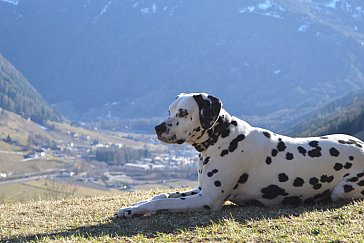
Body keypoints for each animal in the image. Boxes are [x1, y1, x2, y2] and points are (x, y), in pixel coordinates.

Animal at [116, 92, 364, 217]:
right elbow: (161, 195)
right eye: (169, 110)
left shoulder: (207, 199)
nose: (158, 128)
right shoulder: (200, 189)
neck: (221, 136)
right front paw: (131, 207)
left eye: (184, 112)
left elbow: (160, 203)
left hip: (342, 190)